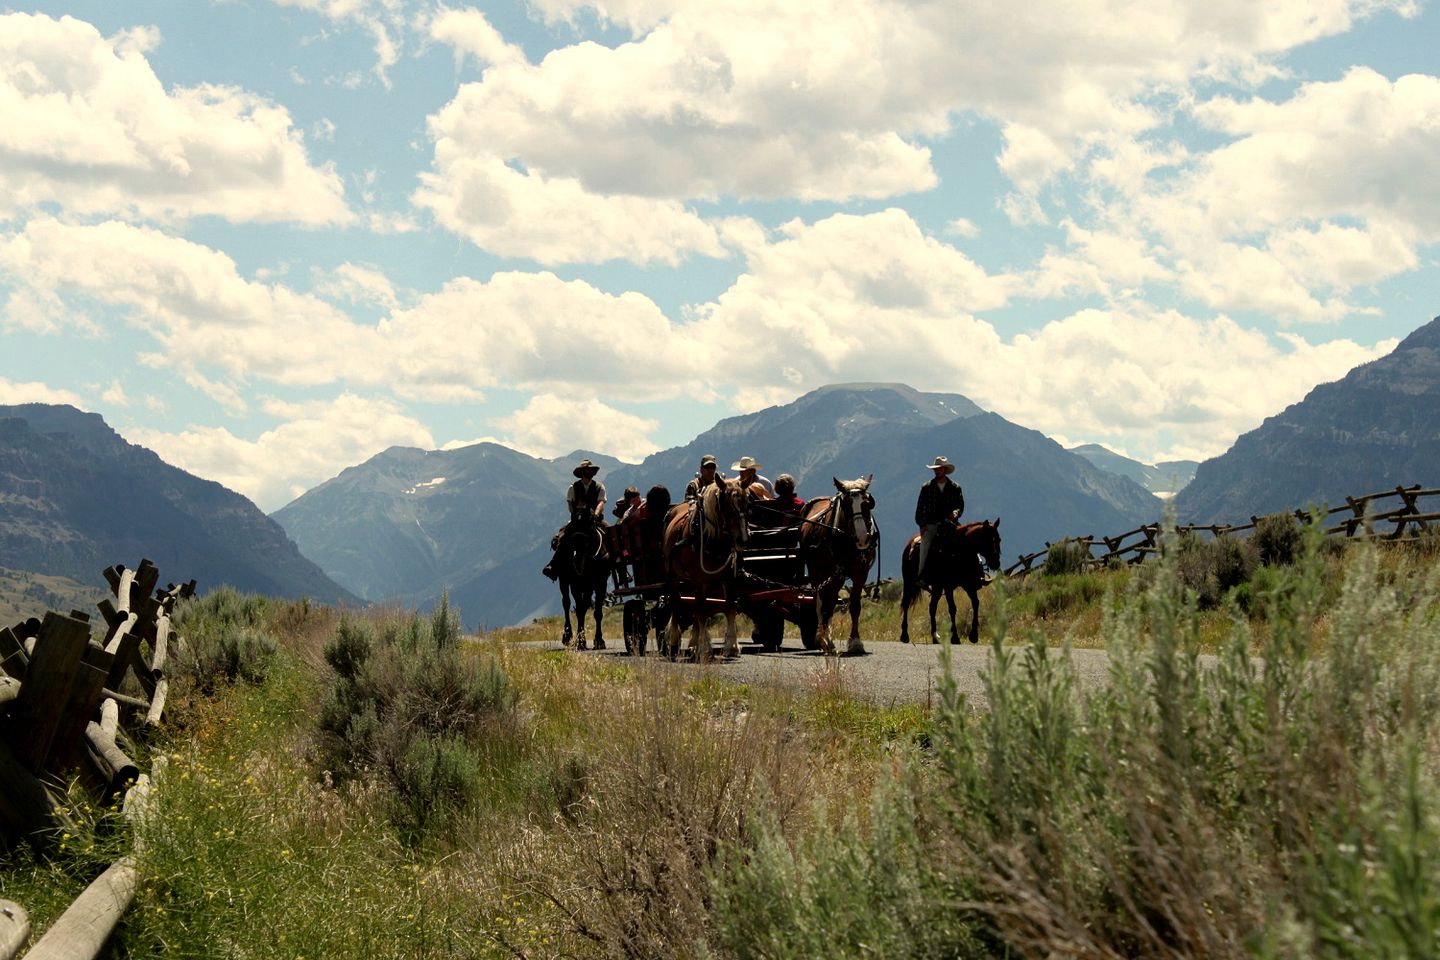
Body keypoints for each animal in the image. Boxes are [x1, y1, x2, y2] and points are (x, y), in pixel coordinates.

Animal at [552, 509, 610, 653]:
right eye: (573, 527)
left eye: (590, 526)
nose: (577, 560)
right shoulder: (575, 585)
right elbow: (578, 610)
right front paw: (580, 642)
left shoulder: (601, 584)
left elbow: (597, 612)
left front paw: (599, 641)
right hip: (564, 581)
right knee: (566, 603)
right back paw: (567, 636)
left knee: (584, 605)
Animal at [662, 477, 754, 662]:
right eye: (726, 505)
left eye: (747, 503)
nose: (742, 540)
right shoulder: (699, 580)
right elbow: (702, 610)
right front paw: (705, 648)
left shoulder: (728, 578)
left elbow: (729, 606)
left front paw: (731, 646)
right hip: (674, 577)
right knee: (676, 603)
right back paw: (674, 641)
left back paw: (693, 643)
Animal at [800, 477, 875, 656]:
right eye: (847, 505)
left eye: (868, 503)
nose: (862, 538)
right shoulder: (830, 572)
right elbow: (826, 606)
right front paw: (824, 641)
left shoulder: (861, 572)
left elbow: (854, 605)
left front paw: (856, 642)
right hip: (817, 571)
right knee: (821, 602)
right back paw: (823, 638)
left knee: (830, 600)